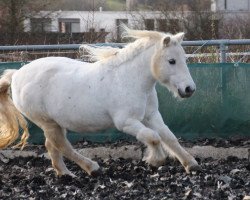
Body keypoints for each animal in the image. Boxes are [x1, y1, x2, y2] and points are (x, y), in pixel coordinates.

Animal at [0, 26, 199, 177]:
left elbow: (169, 137)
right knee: (61, 145)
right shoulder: (126, 122)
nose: (189, 89)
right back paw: (92, 168)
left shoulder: (151, 116)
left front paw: (191, 163)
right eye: (171, 61)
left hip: (55, 123)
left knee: (53, 145)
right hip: (47, 122)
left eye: (184, 59)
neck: (130, 80)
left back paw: (65, 174)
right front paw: (155, 160)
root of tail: (16, 74)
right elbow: (153, 137)